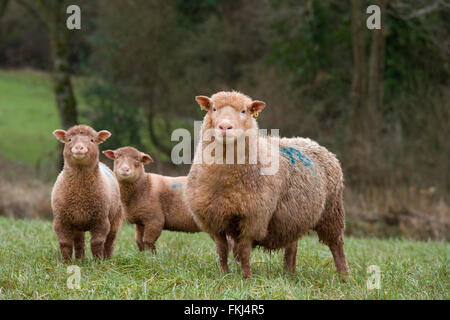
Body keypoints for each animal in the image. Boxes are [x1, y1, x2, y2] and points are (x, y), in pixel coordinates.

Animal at [50, 124, 122, 262]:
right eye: (69, 139)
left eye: (92, 140)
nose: (79, 148)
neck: (80, 195)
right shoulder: (61, 220)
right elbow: (65, 244)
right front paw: (65, 263)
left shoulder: (101, 219)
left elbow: (97, 242)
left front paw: (98, 261)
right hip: (77, 222)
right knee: (79, 242)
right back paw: (80, 260)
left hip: (115, 217)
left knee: (110, 240)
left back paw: (107, 259)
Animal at [185, 90, 350, 278]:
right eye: (213, 108)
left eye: (244, 111)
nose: (225, 127)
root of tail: (312, 142)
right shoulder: (212, 220)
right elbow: (222, 250)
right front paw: (223, 274)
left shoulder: (254, 218)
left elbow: (244, 250)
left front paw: (246, 278)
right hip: (294, 217)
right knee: (292, 246)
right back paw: (289, 273)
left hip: (332, 212)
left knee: (337, 245)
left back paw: (344, 276)